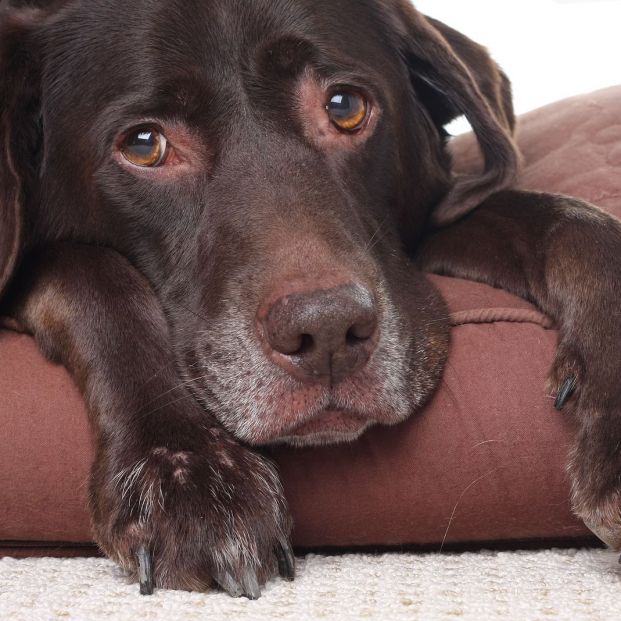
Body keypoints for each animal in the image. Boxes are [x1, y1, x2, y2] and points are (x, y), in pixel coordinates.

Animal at [1, 0, 620, 600]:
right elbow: (93, 273)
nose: (325, 333)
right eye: (145, 145)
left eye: (344, 106)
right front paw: (185, 471)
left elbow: (567, 220)